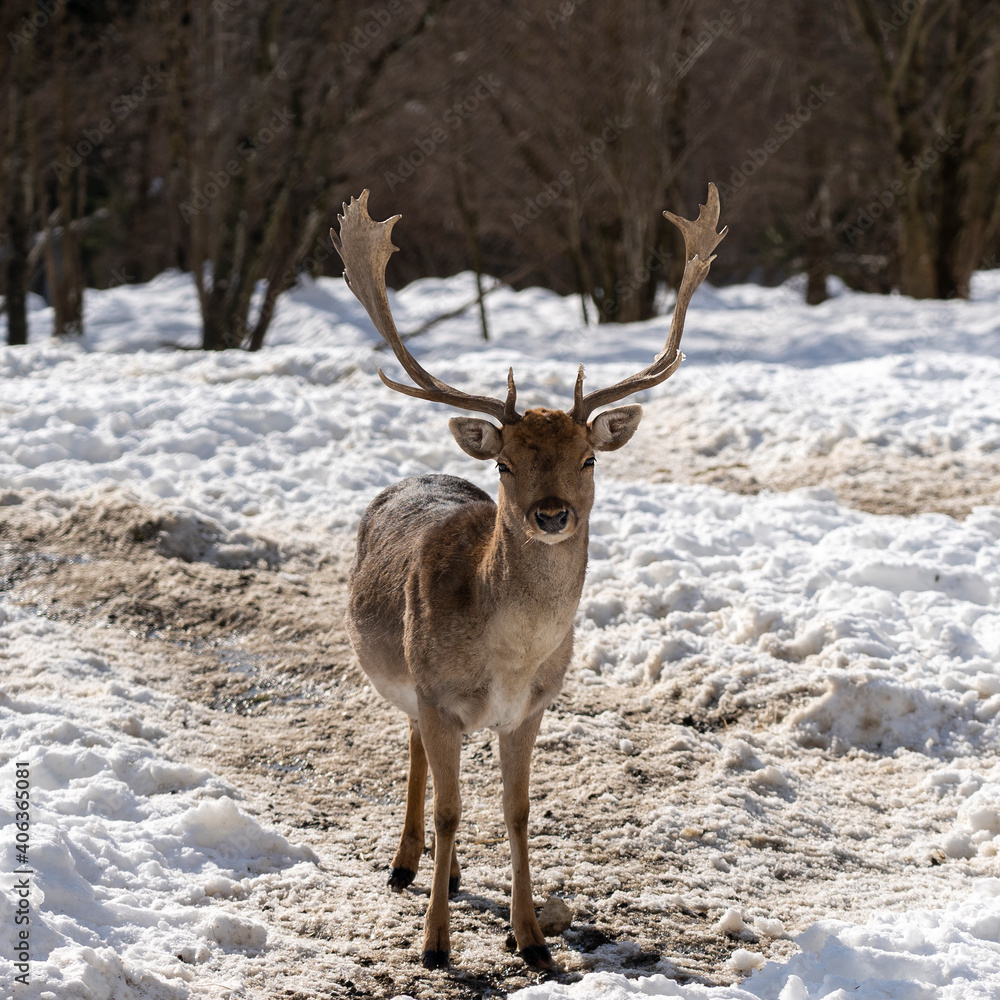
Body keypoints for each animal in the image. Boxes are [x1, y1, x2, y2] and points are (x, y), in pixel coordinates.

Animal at [330, 186, 728, 968]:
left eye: (589, 458)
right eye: (506, 462)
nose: (551, 513)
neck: (510, 660)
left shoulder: (534, 707)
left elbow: (516, 812)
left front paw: (532, 939)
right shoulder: (437, 694)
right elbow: (453, 811)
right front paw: (435, 946)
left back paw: (446, 876)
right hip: (408, 680)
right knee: (418, 755)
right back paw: (405, 865)